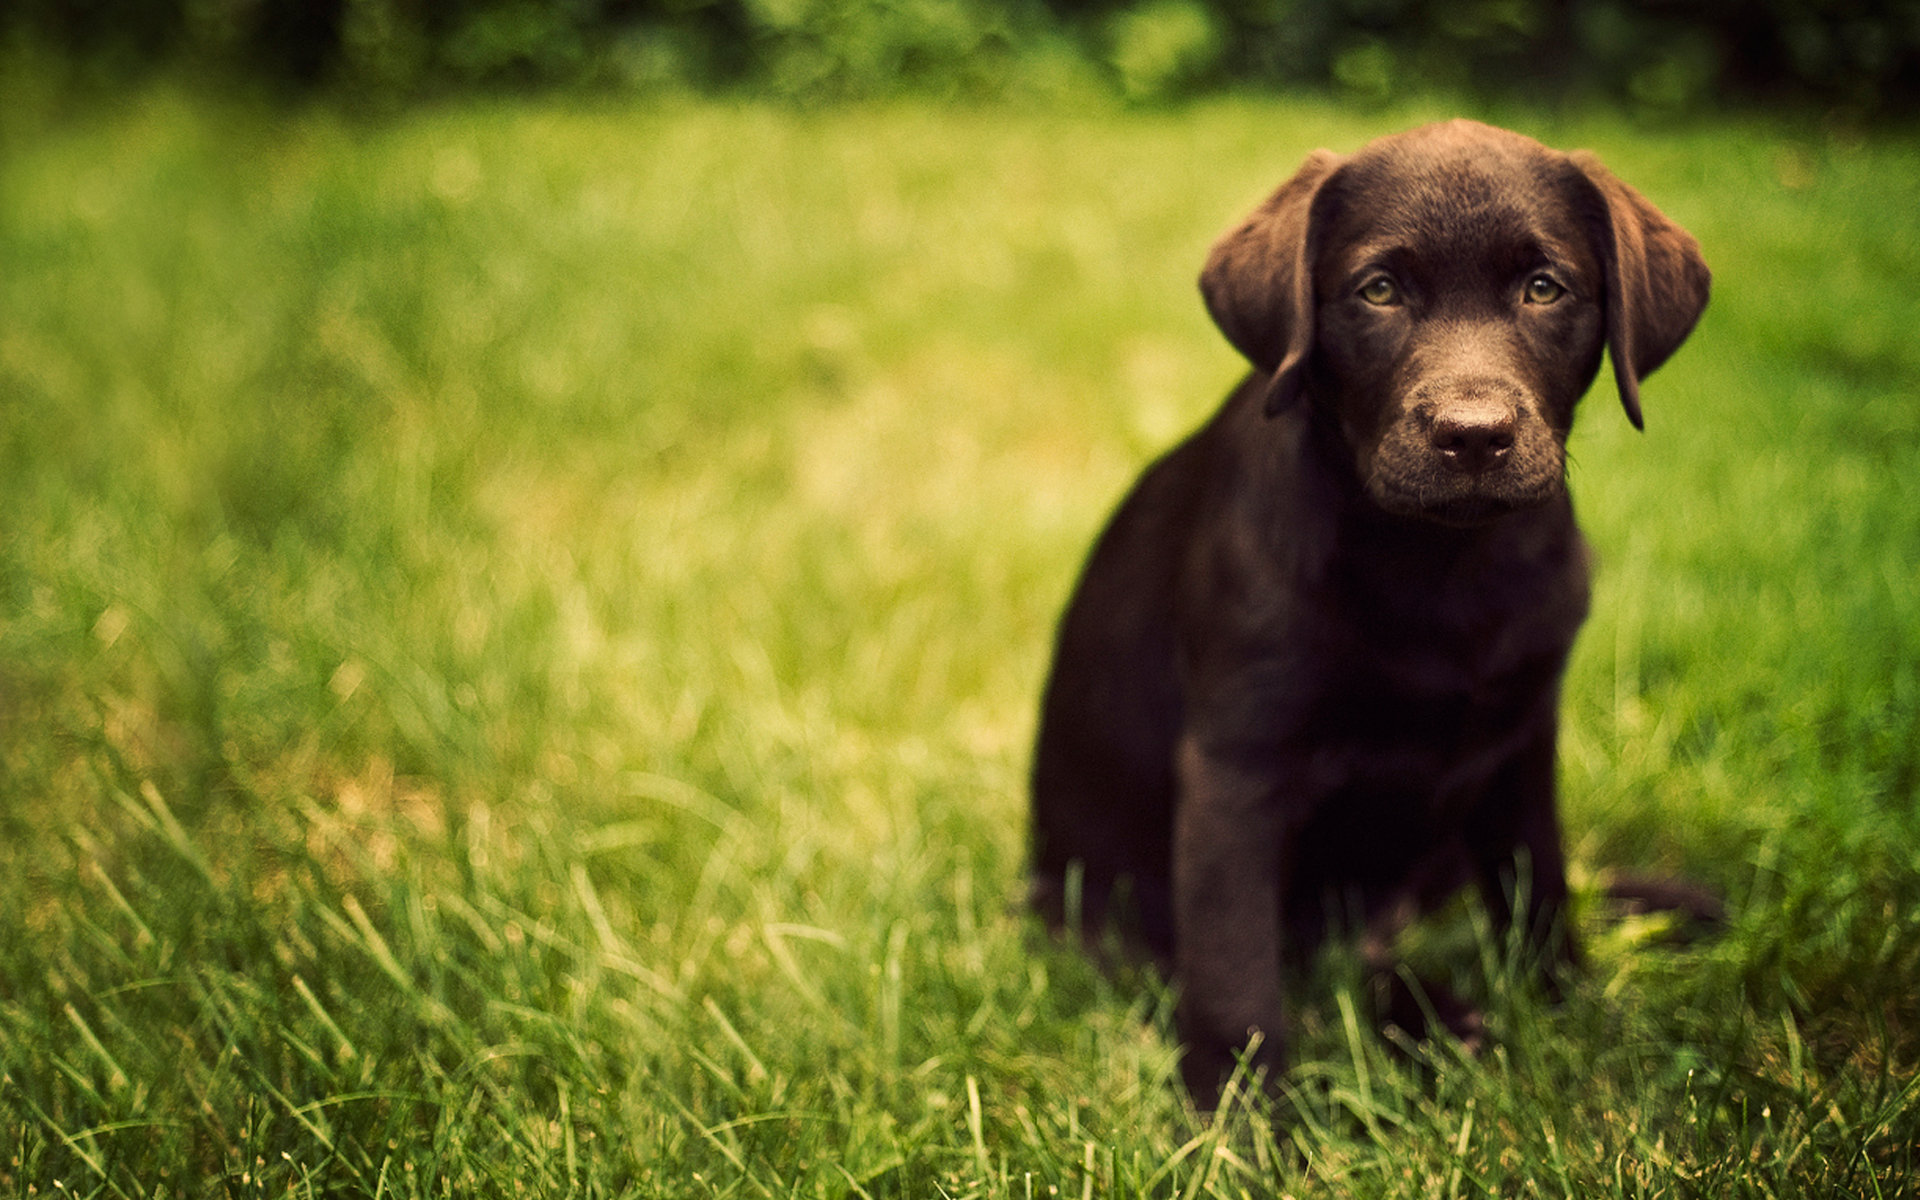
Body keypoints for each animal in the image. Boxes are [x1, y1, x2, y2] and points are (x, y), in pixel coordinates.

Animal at [1036, 121, 1712, 1105]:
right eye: (1379, 291)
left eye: (1544, 288)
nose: (1473, 435)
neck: (1438, 563)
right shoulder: (1235, 768)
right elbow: (1234, 971)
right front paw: (1239, 1122)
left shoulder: (1521, 737)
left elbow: (1539, 883)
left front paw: (1571, 1015)